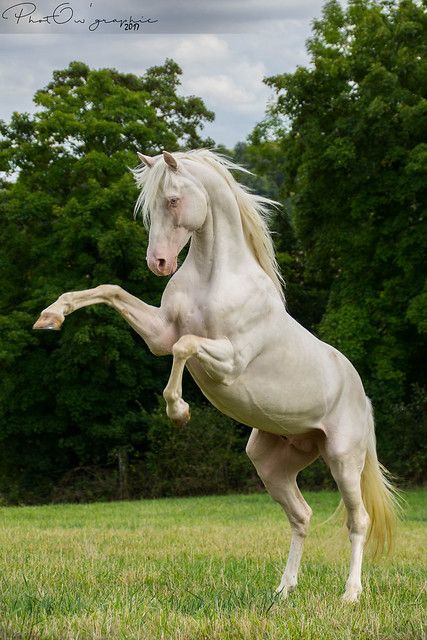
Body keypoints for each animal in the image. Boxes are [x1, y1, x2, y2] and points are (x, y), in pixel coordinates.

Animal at [34, 148, 402, 604]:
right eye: (147, 208)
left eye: (173, 200)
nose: (158, 263)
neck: (214, 278)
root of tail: (361, 396)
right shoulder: (159, 333)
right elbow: (111, 291)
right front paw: (51, 316)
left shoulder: (229, 361)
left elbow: (185, 346)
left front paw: (178, 411)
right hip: (272, 462)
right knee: (301, 515)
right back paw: (283, 590)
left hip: (343, 459)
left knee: (359, 520)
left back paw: (350, 594)